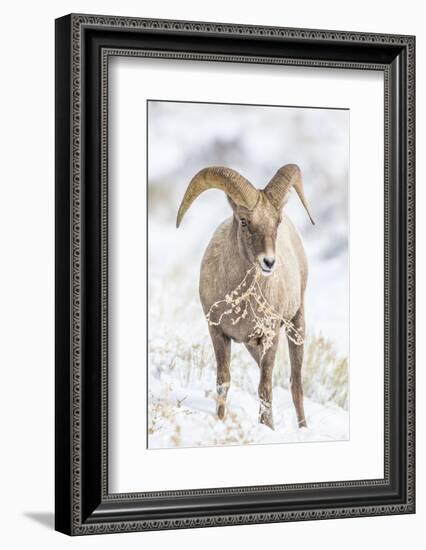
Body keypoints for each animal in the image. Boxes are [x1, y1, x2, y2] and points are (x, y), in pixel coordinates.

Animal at [176, 164, 312, 432]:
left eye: (277, 222)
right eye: (244, 221)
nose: (269, 262)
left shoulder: (270, 336)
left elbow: (265, 387)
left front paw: (267, 429)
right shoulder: (218, 333)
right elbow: (223, 380)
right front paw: (220, 419)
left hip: (296, 324)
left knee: (295, 384)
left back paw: (303, 429)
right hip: (252, 345)